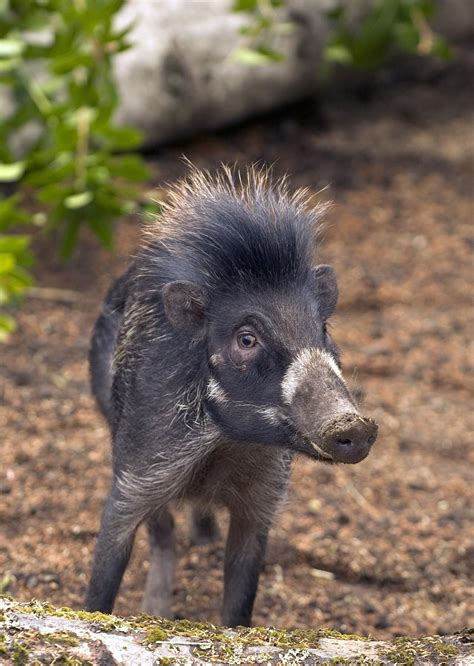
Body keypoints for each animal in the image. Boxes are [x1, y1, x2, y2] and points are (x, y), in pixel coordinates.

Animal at [85, 166, 378, 627]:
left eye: (323, 329)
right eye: (246, 338)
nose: (356, 424)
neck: (226, 447)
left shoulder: (262, 502)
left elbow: (240, 596)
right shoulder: (135, 474)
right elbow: (106, 575)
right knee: (164, 533)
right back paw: (157, 609)